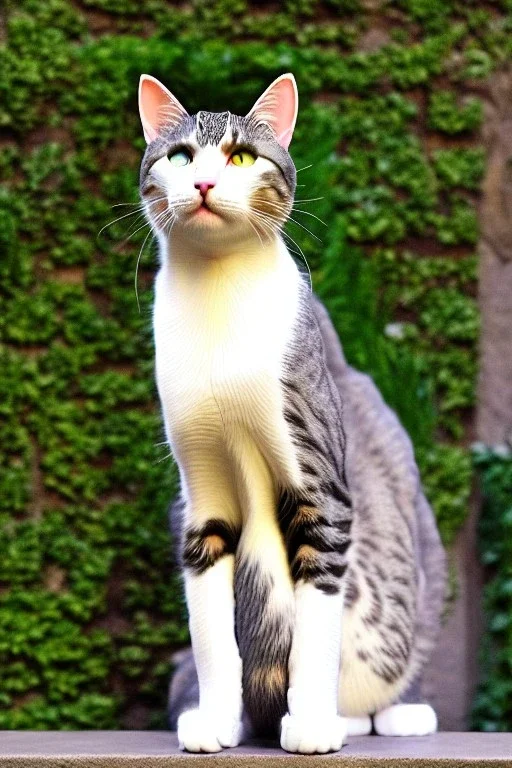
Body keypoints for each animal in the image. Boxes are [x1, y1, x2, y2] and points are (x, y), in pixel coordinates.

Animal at [138, 73, 446, 756]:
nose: (204, 183)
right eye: (180, 157)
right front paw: (216, 721)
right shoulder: (200, 496)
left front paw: (309, 725)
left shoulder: (320, 489)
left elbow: (314, 626)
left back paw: (384, 713)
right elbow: (211, 635)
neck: (217, 300)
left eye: (241, 157)